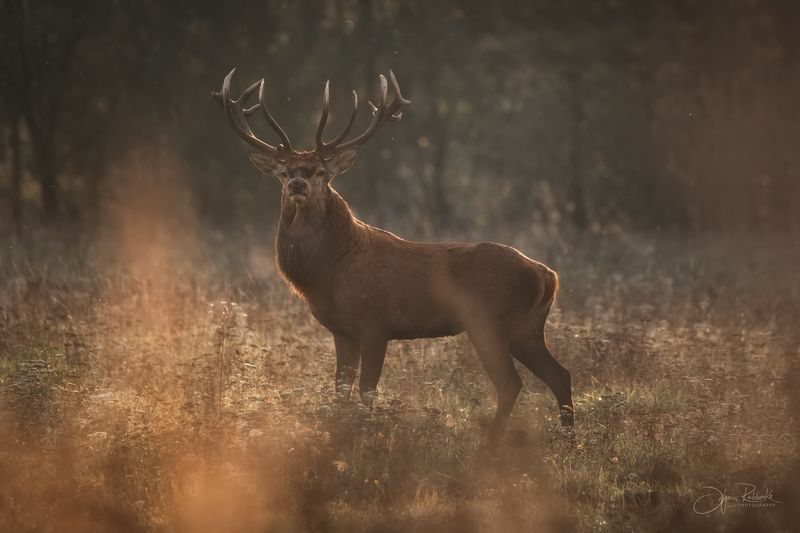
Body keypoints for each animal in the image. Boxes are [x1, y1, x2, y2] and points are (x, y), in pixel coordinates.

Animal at [212, 68, 574, 442]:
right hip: (526, 327)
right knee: (560, 374)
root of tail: (548, 275)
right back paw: (568, 441)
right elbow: (340, 391)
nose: (297, 184)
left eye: (321, 171)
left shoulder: (376, 325)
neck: (330, 274)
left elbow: (367, 392)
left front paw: (362, 436)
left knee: (511, 383)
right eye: (285, 171)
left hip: (488, 320)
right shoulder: (341, 331)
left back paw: (489, 445)